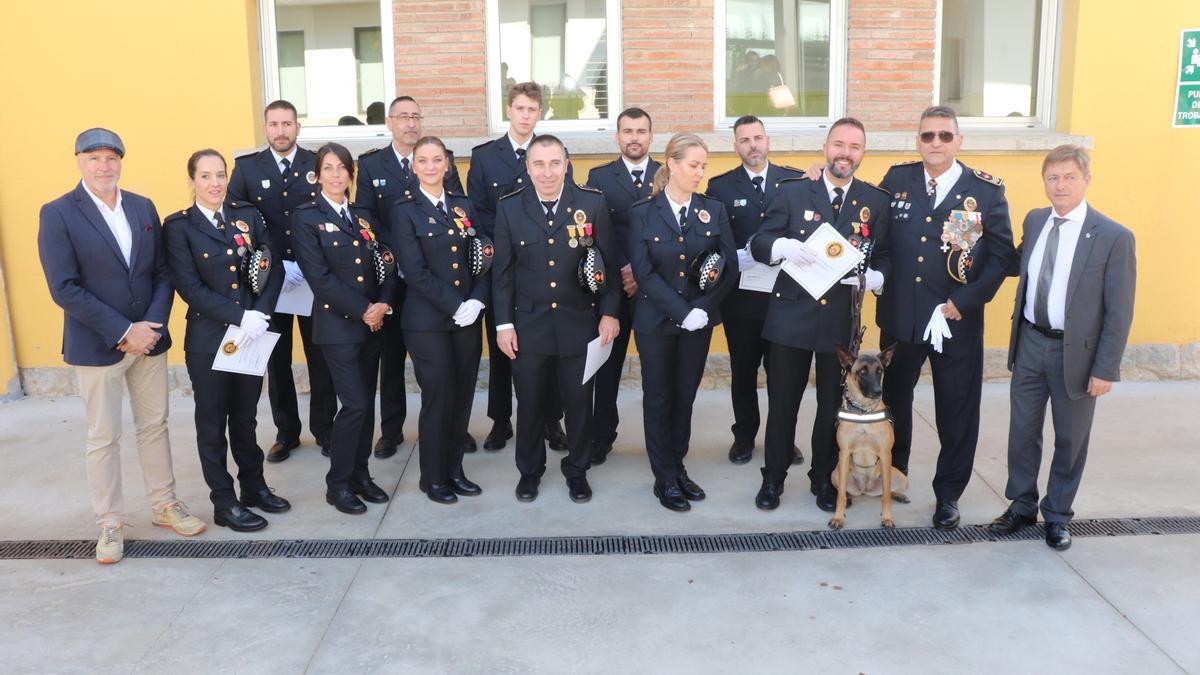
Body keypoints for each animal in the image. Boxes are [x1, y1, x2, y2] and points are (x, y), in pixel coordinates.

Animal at [830, 343, 902, 528]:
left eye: (880, 371)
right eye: (862, 371)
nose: (878, 391)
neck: (863, 412)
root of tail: (864, 490)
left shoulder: (885, 455)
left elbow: (886, 495)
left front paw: (887, 517)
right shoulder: (844, 454)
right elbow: (840, 494)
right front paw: (838, 517)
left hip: (899, 475)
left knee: (888, 490)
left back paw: (899, 495)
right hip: (836, 472)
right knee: (844, 490)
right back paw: (849, 498)